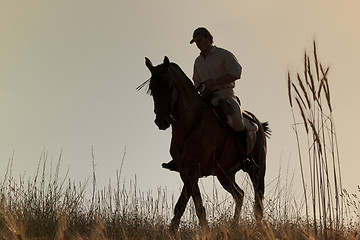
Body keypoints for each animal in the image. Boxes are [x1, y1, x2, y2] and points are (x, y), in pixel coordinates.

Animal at [141, 55, 270, 231]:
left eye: (169, 86)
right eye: (152, 88)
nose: (161, 121)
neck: (191, 124)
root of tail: (259, 124)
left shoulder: (193, 170)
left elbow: (190, 204)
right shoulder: (185, 172)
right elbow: (189, 204)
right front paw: (177, 230)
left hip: (257, 169)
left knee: (258, 200)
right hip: (225, 174)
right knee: (239, 195)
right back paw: (234, 226)